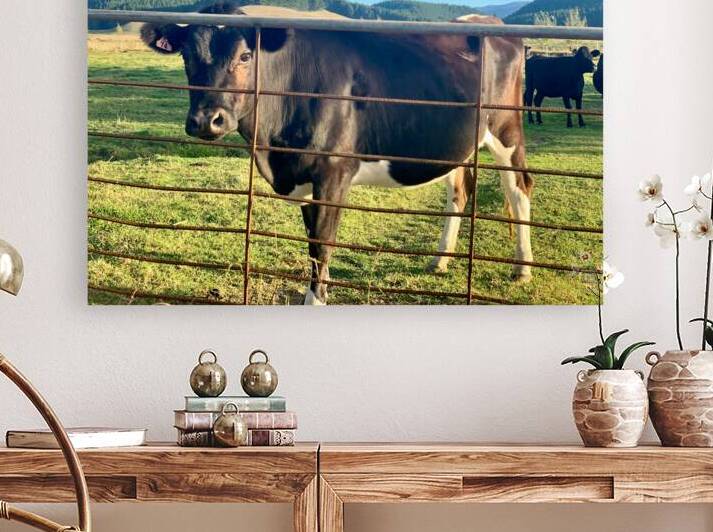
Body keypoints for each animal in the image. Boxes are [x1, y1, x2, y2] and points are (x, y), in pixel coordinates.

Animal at [141, 3, 534, 304]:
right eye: (188, 56)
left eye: (245, 55)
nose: (207, 120)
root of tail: (491, 23)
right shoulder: (301, 175)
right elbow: (311, 242)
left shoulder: (333, 172)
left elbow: (322, 244)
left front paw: (315, 301)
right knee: (460, 191)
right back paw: (440, 260)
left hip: (506, 129)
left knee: (519, 188)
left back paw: (523, 267)